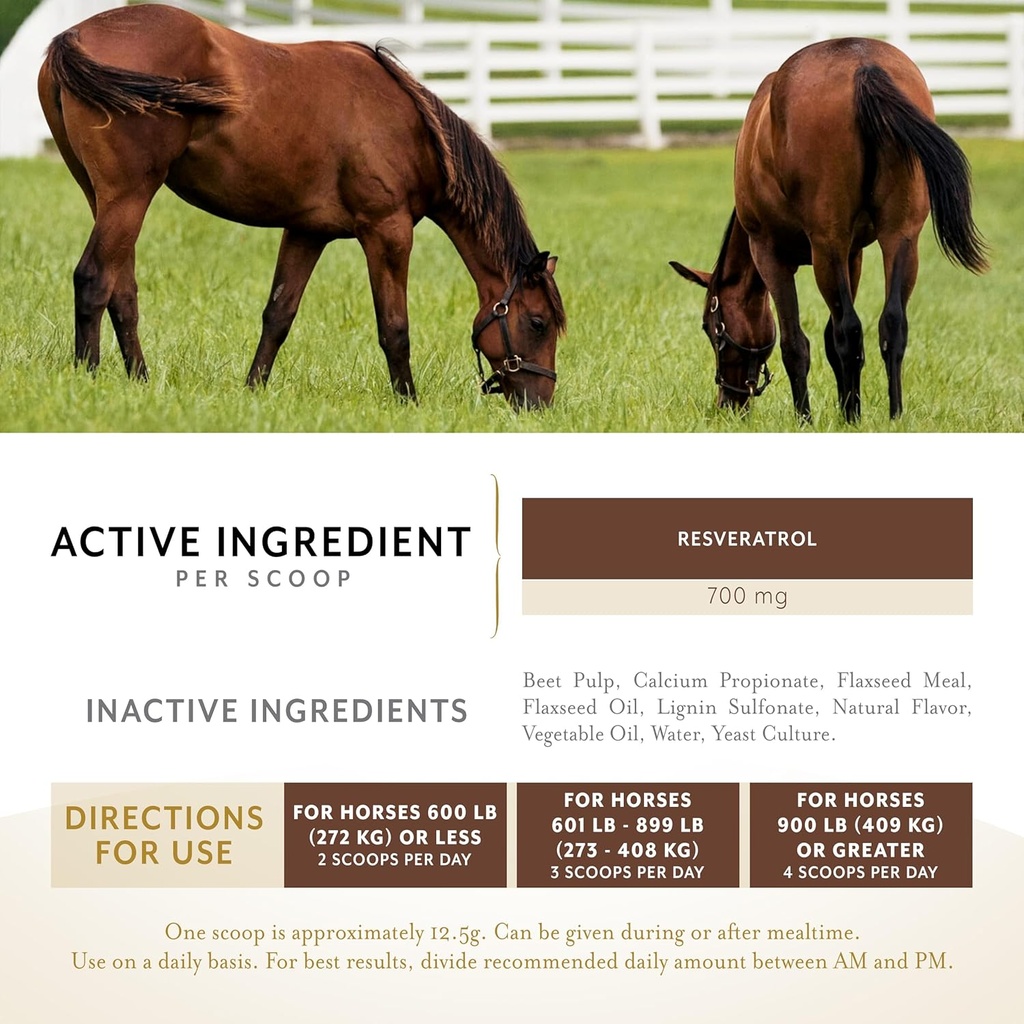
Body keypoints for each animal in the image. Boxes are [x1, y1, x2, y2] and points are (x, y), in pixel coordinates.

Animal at [37, 4, 564, 407]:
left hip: (105, 198)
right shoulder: (388, 234)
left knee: (121, 291)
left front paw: (252, 391)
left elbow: (278, 316)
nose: (539, 404)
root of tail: (73, 35)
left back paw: (141, 383)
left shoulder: (307, 233)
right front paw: (409, 403)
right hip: (128, 197)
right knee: (93, 280)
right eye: (537, 322)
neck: (410, 128)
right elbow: (394, 328)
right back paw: (88, 378)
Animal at [670, 37, 987, 421]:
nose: (728, 404)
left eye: (710, 327)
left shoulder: (770, 254)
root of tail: (863, 64)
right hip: (899, 237)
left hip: (827, 244)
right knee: (891, 323)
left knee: (848, 329)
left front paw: (807, 418)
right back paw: (893, 415)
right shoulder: (853, 255)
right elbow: (831, 339)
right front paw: (848, 407)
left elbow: (796, 343)